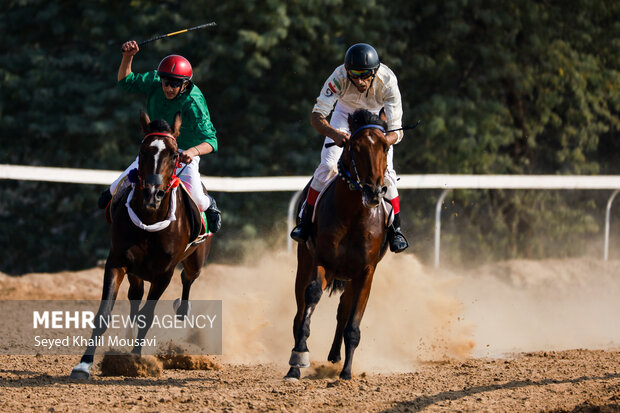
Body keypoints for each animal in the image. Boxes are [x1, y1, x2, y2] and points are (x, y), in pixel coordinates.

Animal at [71, 111, 213, 378]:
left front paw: (136, 360)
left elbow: (148, 315)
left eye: (175, 154)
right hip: (136, 271)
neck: (150, 220)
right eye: (142, 150)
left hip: (196, 259)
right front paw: (83, 364)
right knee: (135, 295)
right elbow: (105, 313)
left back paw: (182, 309)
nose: (151, 194)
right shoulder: (117, 261)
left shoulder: (164, 274)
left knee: (188, 277)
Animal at [284, 108, 390, 378]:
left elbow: (352, 323)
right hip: (305, 260)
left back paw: (335, 356)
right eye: (355, 146)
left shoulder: (366, 271)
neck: (353, 214)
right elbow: (310, 297)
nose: (374, 192)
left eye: (385, 146)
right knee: (300, 309)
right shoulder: (323, 261)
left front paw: (347, 372)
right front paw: (298, 357)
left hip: (350, 275)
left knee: (343, 310)